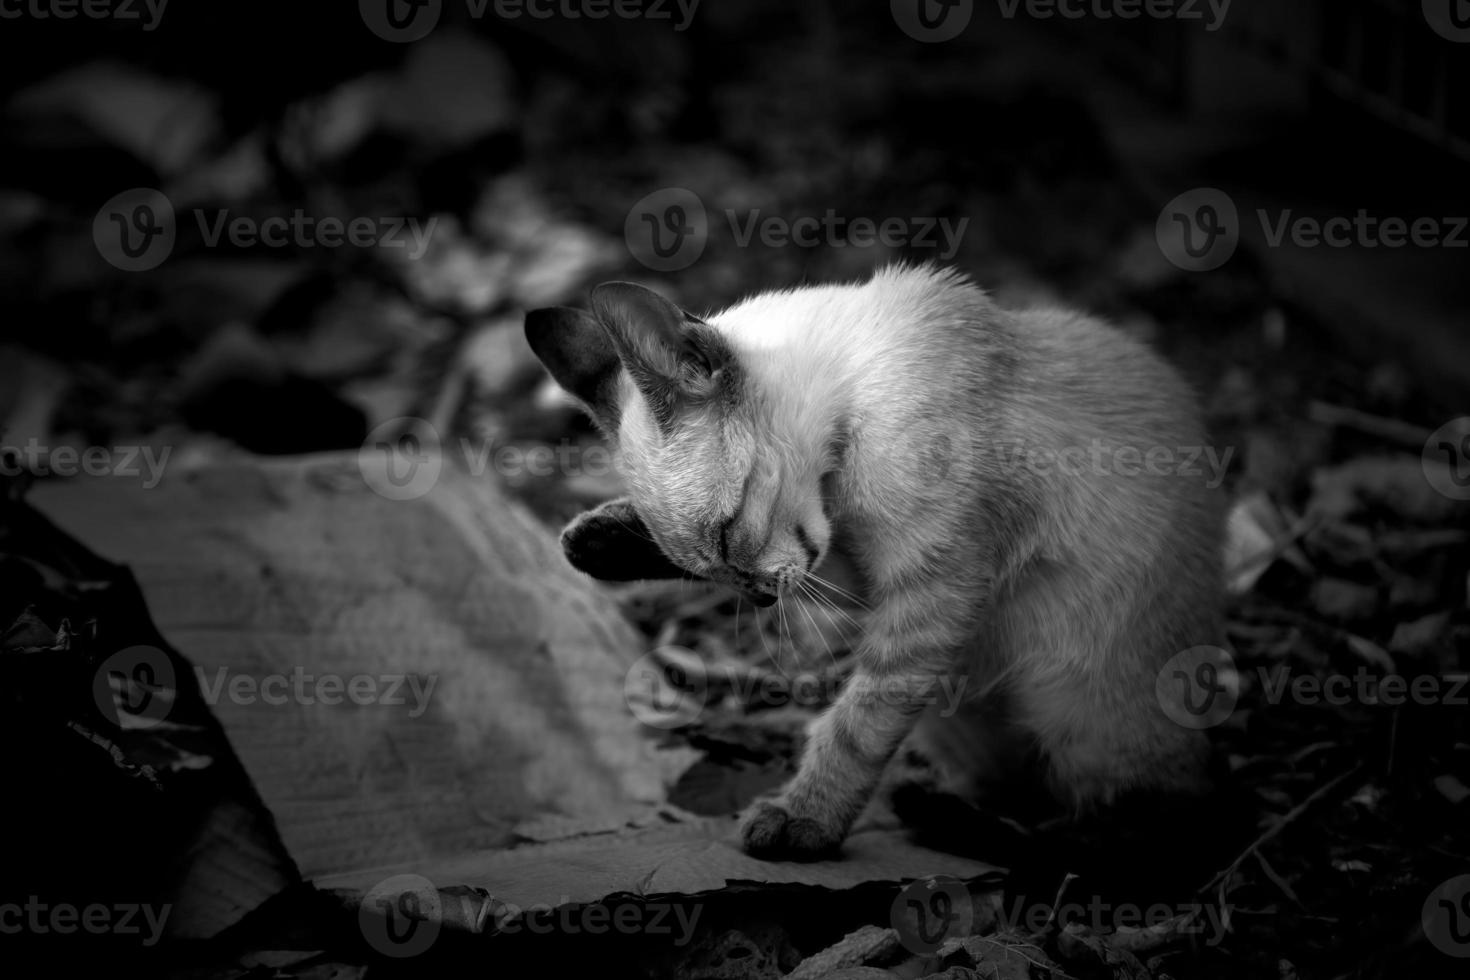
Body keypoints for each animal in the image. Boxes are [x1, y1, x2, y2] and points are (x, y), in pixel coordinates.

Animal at [523, 264, 1223, 863]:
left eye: (726, 536)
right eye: (706, 571)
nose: (758, 596)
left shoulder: (929, 593)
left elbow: (855, 726)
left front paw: (803, 820)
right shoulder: (850, 572)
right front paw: (591, 541)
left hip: (1074, 706)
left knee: (1131, 827)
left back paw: (953, 821)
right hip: (959, 712)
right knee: (1018, 788)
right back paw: (941, 808)